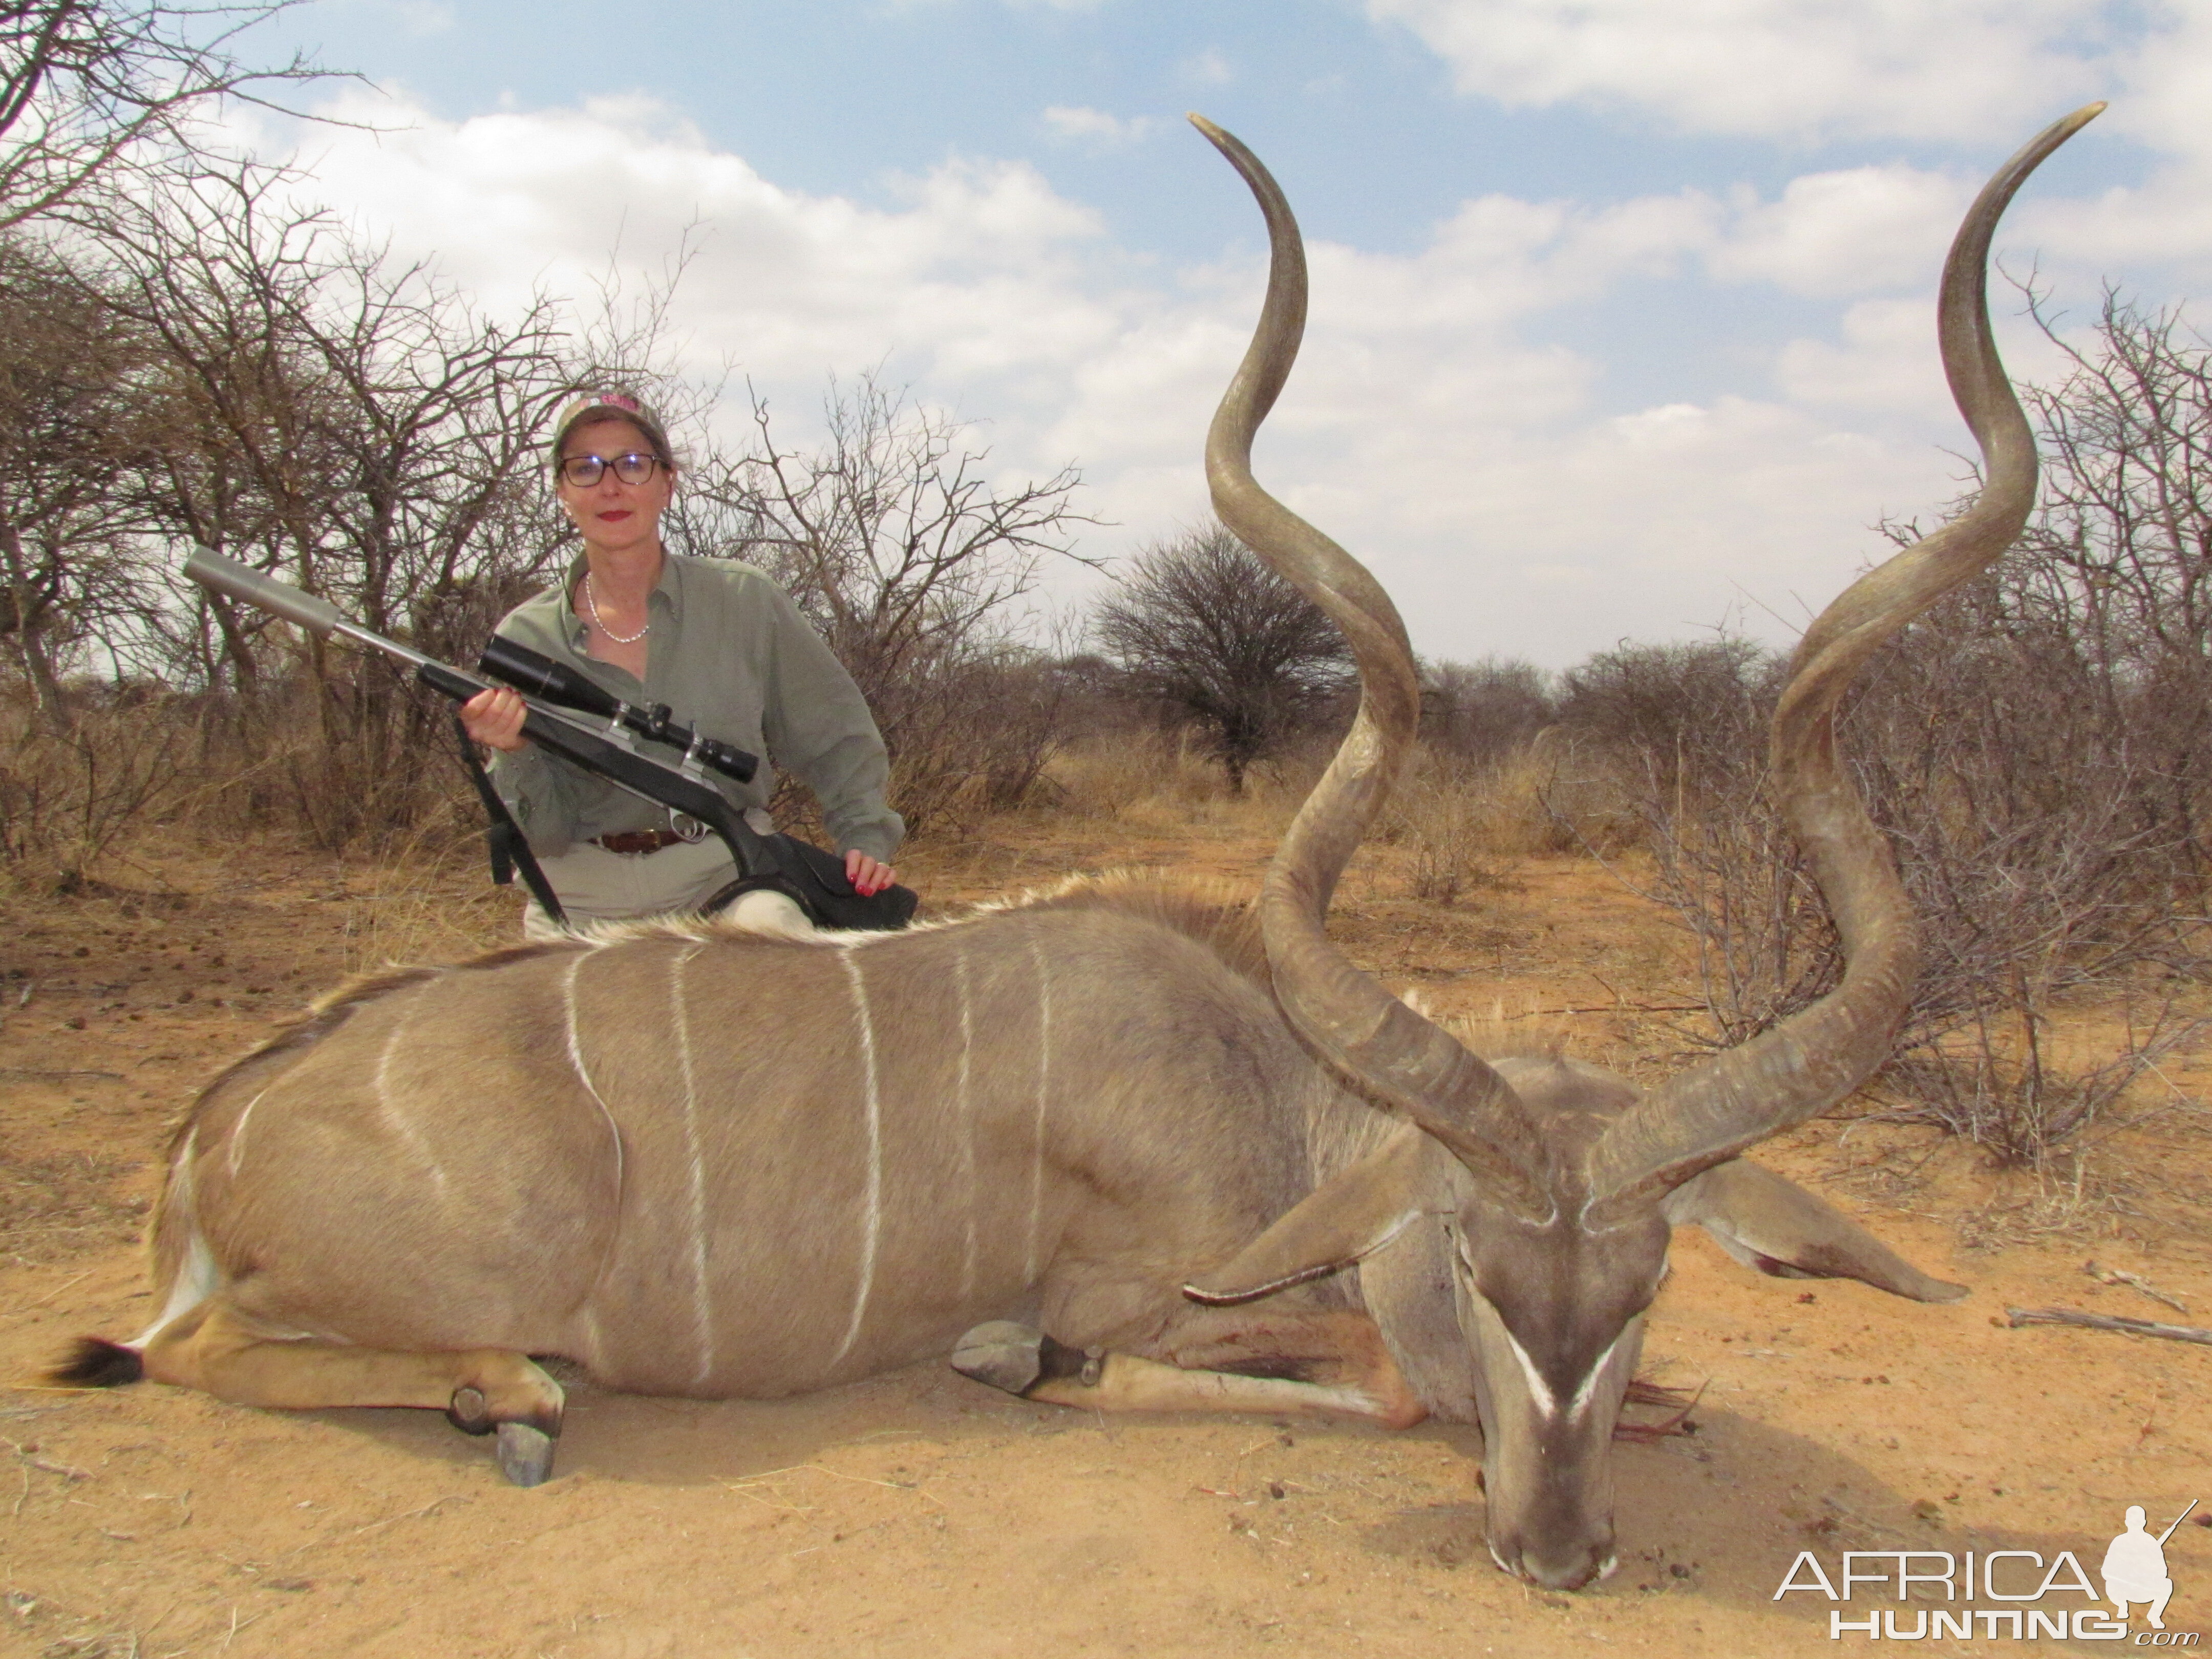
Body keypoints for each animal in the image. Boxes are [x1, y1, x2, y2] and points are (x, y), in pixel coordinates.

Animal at [47, 111, 2088, 1592]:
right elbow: (1329, 1383)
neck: (1272, 1093)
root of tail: (208, 1134)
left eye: (1648, 1279)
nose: (1560, 1553)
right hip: (426, 1283)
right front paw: (1011, 1362)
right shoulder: (1153, 1294)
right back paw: (510, 1396)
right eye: (1471, 1271)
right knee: (192, 1351)